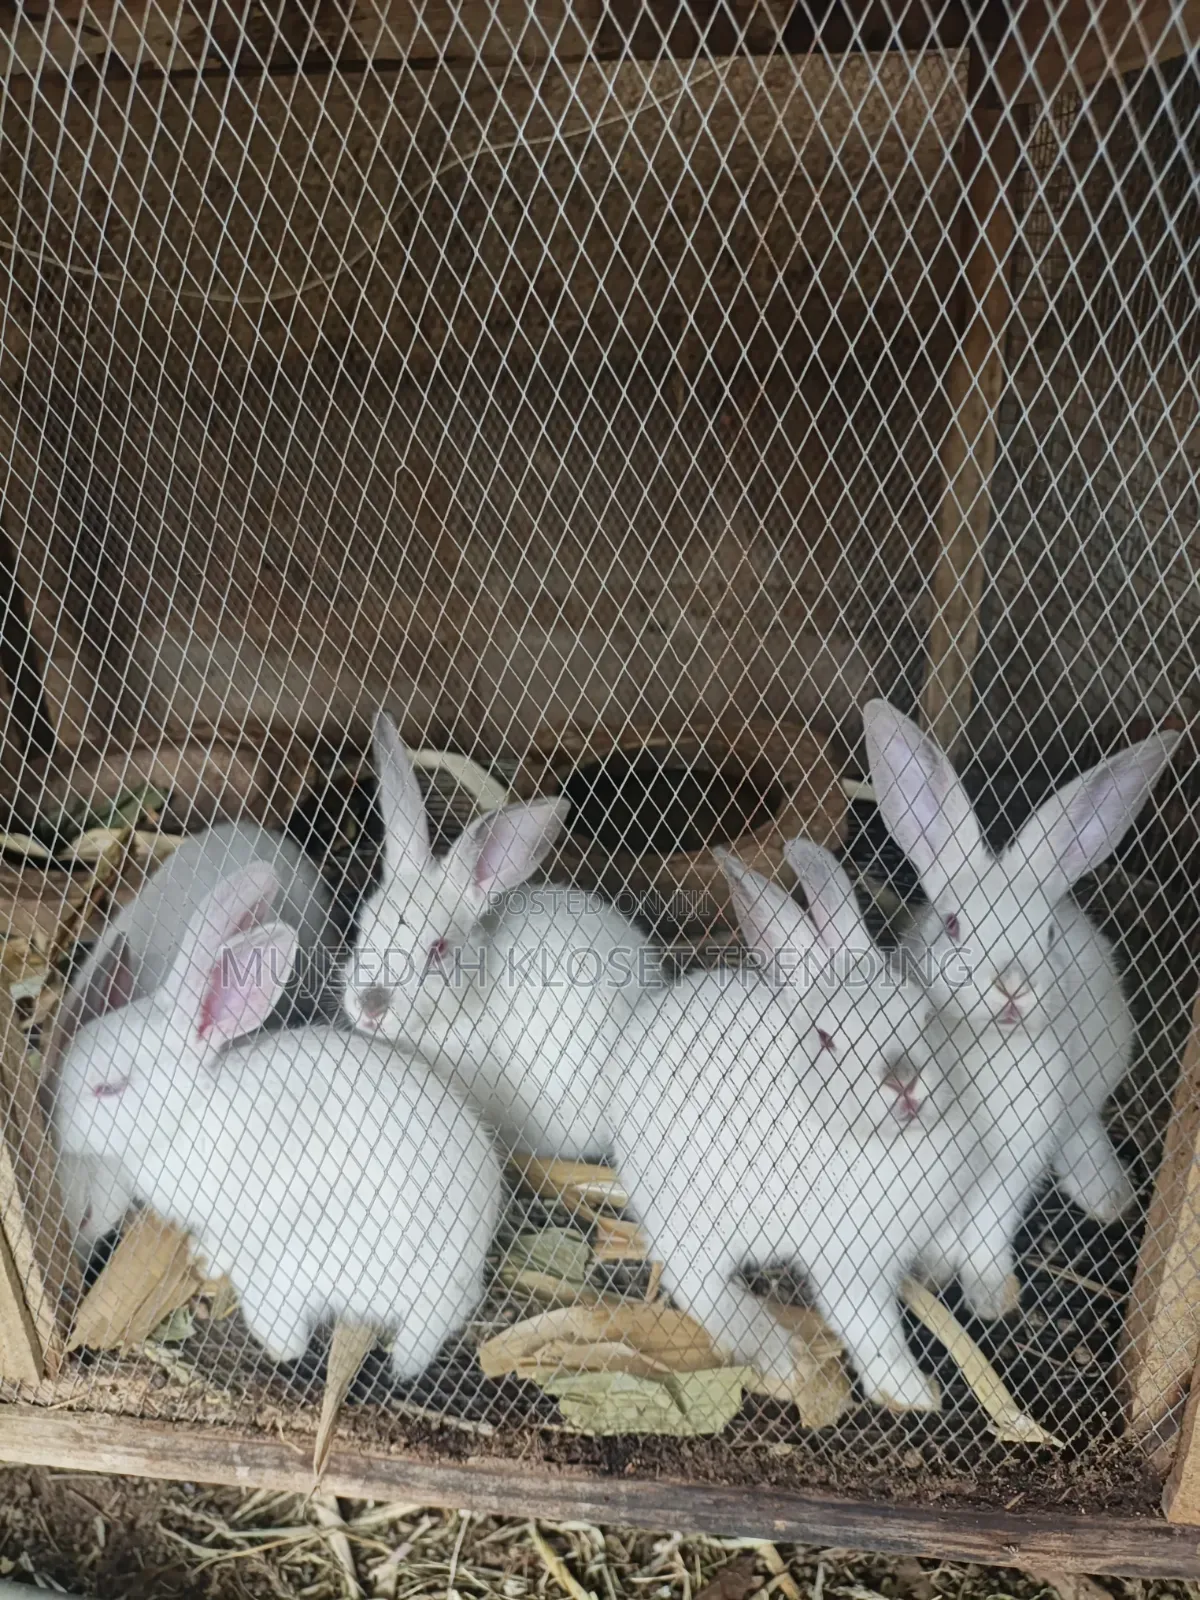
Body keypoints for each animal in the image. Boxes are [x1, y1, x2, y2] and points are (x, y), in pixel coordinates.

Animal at [54, 863, 502, 1378]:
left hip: (302, 1261)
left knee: (290, 1335)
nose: (58, 1123)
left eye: (108, 1088)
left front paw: (207, 1259)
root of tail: (446, 1296)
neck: (188, 1111)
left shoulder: (239, 1214)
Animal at [607, 838, 1014, 1411]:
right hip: (696, 1215)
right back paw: (777, 1350)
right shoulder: (850, 1265)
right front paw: (912, 1391)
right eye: (826, 1040)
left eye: (922, 1014)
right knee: (693, 1276)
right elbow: (874, 1328)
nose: (904, 1081)